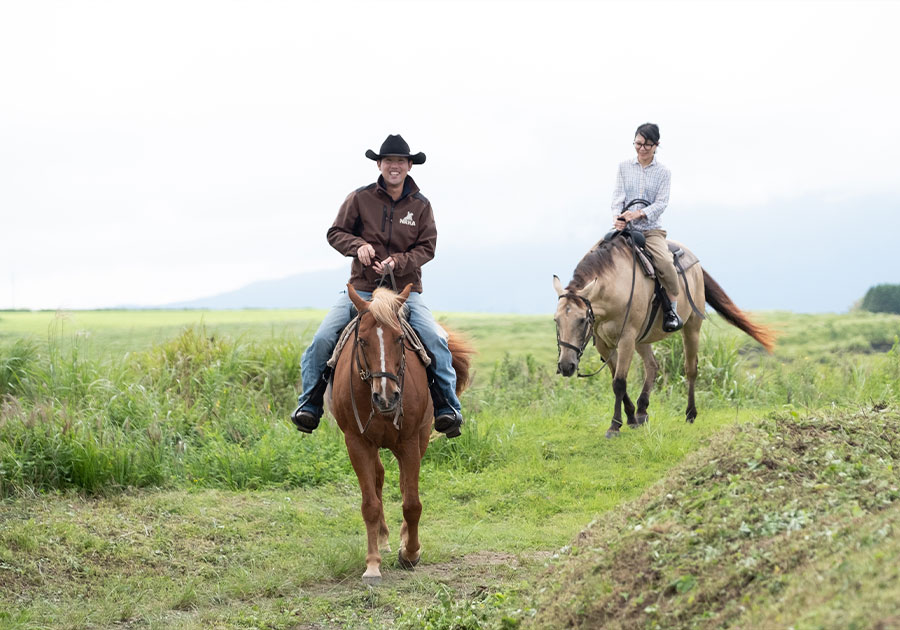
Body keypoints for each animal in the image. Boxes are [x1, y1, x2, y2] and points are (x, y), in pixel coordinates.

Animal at [326, 284, 474, 584]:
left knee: (404, 485)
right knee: (379, 478)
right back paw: (383, 538)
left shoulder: (409, 442)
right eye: (363, 341)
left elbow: (412, 503)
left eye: (399, 338)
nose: (386, 397)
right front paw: (372, 564)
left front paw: (410, 553)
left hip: (419, 438)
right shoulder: (356, 442)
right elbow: (369, 504)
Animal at [552, 231, 776, 440]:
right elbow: (618, 380)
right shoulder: (603, 344)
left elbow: (619, 382)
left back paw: (690, 414)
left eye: (582, 320)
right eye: (556, 320)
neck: (615, 286)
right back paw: (642, 411)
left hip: (691, 327)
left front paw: (614, 426)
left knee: (690, 369)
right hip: (642, 339)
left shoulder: (626, 339)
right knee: (652, 366)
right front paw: (631, 417)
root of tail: (695, 263)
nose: (566, 366)